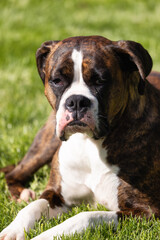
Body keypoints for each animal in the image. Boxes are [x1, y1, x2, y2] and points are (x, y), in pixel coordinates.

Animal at [0, 36, 160, 240]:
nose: (76, 101)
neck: (90, 144)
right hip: (46, 144)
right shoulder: (56, 195)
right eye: (57, 81)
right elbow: (34, 206)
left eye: (100, 80)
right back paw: (23, 194)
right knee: (13, 174)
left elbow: (86, 216)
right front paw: (14, 229)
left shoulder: (146, 211)